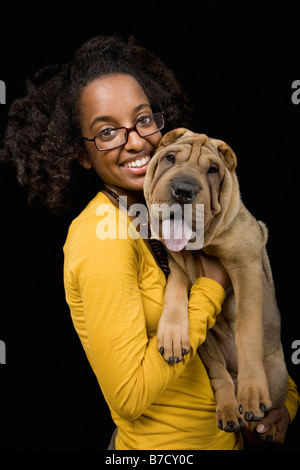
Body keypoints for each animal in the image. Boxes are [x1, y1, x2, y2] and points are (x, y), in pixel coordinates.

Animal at [144, 127, 290, 436]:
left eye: (212, 170)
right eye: (170, 158)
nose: (183, 190)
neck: (202, 245)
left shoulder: (245, 265)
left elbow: (248, 331)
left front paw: (252, 393)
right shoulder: (177, 265)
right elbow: (174, 295)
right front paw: (172, 335)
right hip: (210, 348)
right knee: (220, 375)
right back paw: (227, 409)